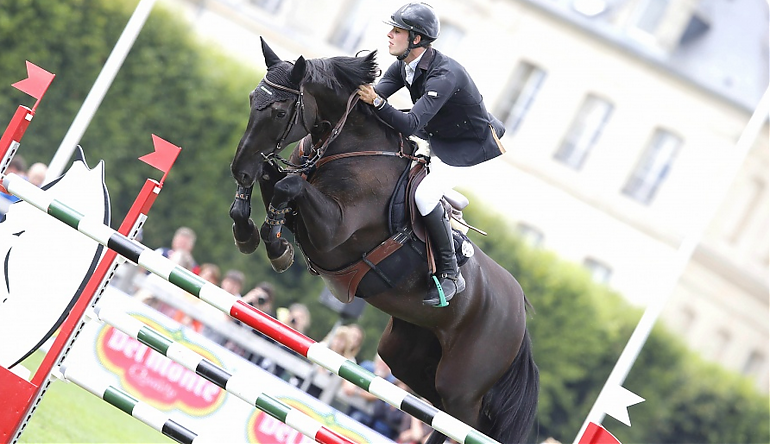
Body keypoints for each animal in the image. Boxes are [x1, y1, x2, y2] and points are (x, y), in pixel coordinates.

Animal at [230, 39, 536, 444]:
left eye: (280, 111)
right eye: (252, 98)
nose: (238, 169)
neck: (348, 148)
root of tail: (520, 312)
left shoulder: (334, 235)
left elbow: (288, 185)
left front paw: (277, 247)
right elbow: (272, 177)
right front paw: (247, 231)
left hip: (463, 384)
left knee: (462, 423)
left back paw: (449, 282)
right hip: (406, 355)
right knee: (444, 411)